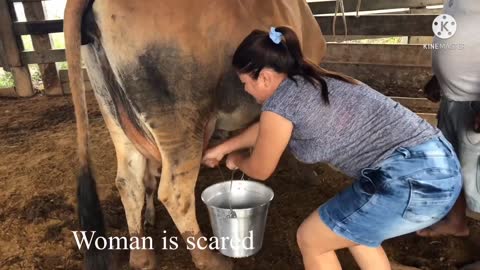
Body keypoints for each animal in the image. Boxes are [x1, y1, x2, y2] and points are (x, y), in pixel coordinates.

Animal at [63, 1, 326, 268]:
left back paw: (141, 256)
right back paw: (209, 259)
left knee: (129, 183)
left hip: (112, 113)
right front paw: (308, 173)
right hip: (180, 122)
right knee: (174, 192)